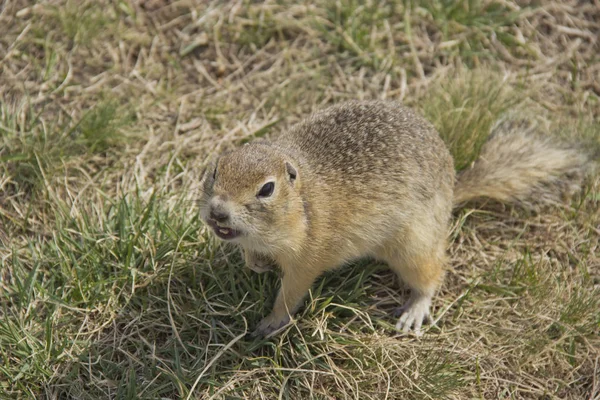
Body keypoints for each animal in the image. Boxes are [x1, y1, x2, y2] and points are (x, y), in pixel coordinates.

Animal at [198, 100, 592, 338]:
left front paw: (270, 322)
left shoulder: (308, 258)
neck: (301, 204)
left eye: (267, 189)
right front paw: (256, 264)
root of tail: (453, 184)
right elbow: (251, 256)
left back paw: (414, 310)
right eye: (216, 169)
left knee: (432, 274)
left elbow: (290, 293)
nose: (217, 212)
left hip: (414, 245)